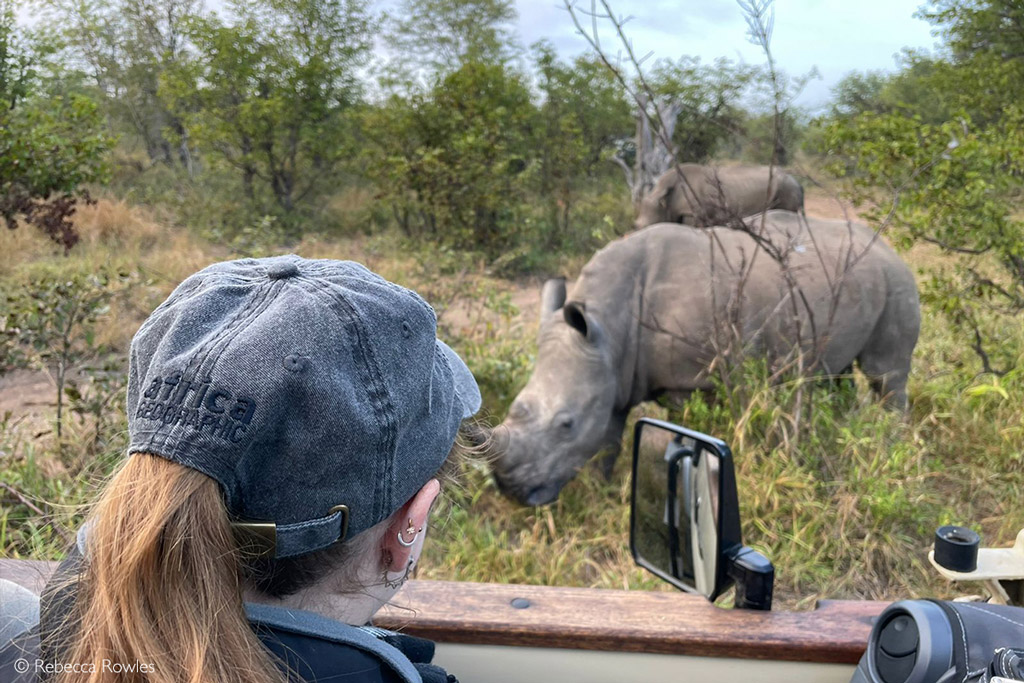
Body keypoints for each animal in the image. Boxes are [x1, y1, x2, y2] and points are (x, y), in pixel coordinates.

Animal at [487, 214, 921, 507]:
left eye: (566, 424)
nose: (509, 490)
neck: (608, 326)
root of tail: (887, 245)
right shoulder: (612, 373)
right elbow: (609, 438)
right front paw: (603, 489)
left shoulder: (697, 377)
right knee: (837, 373)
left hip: (898, 280)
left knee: (885, 376)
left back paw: (890, 447)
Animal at [634, 163, 802, 231]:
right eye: (636, 226)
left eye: (644, 227)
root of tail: (797, 182)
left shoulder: (692, 213)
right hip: (786, 186)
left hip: (786, 188)